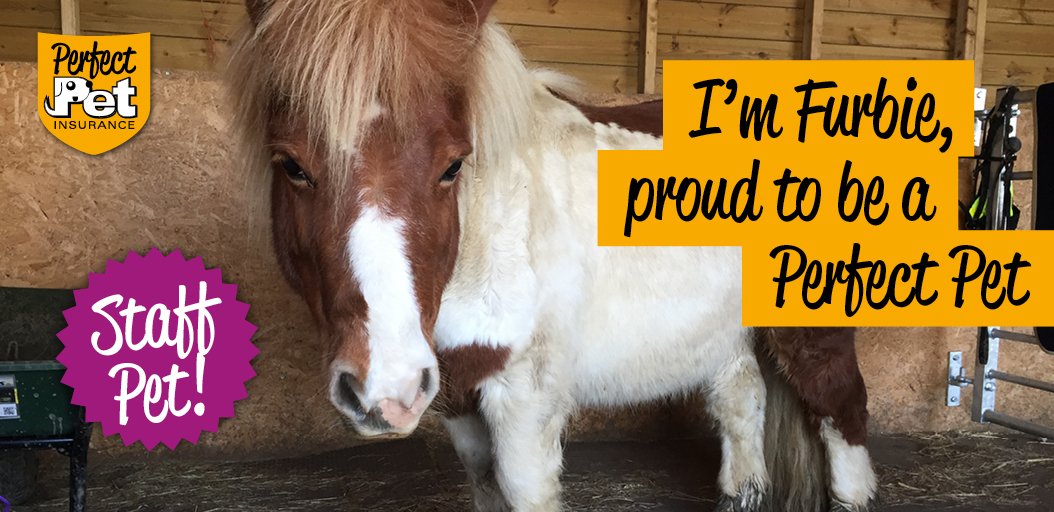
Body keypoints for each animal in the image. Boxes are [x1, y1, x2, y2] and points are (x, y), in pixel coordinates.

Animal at [228, 1, 877, 510]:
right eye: (292, 165)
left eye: (452, 166)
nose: (384, 391)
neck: (490, 230)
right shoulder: (458, 390)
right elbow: (484, 484)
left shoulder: (525, 396)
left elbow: (523, 488)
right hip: (722, 332)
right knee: (743, 406)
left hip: (812, 327)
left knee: (841, 417)